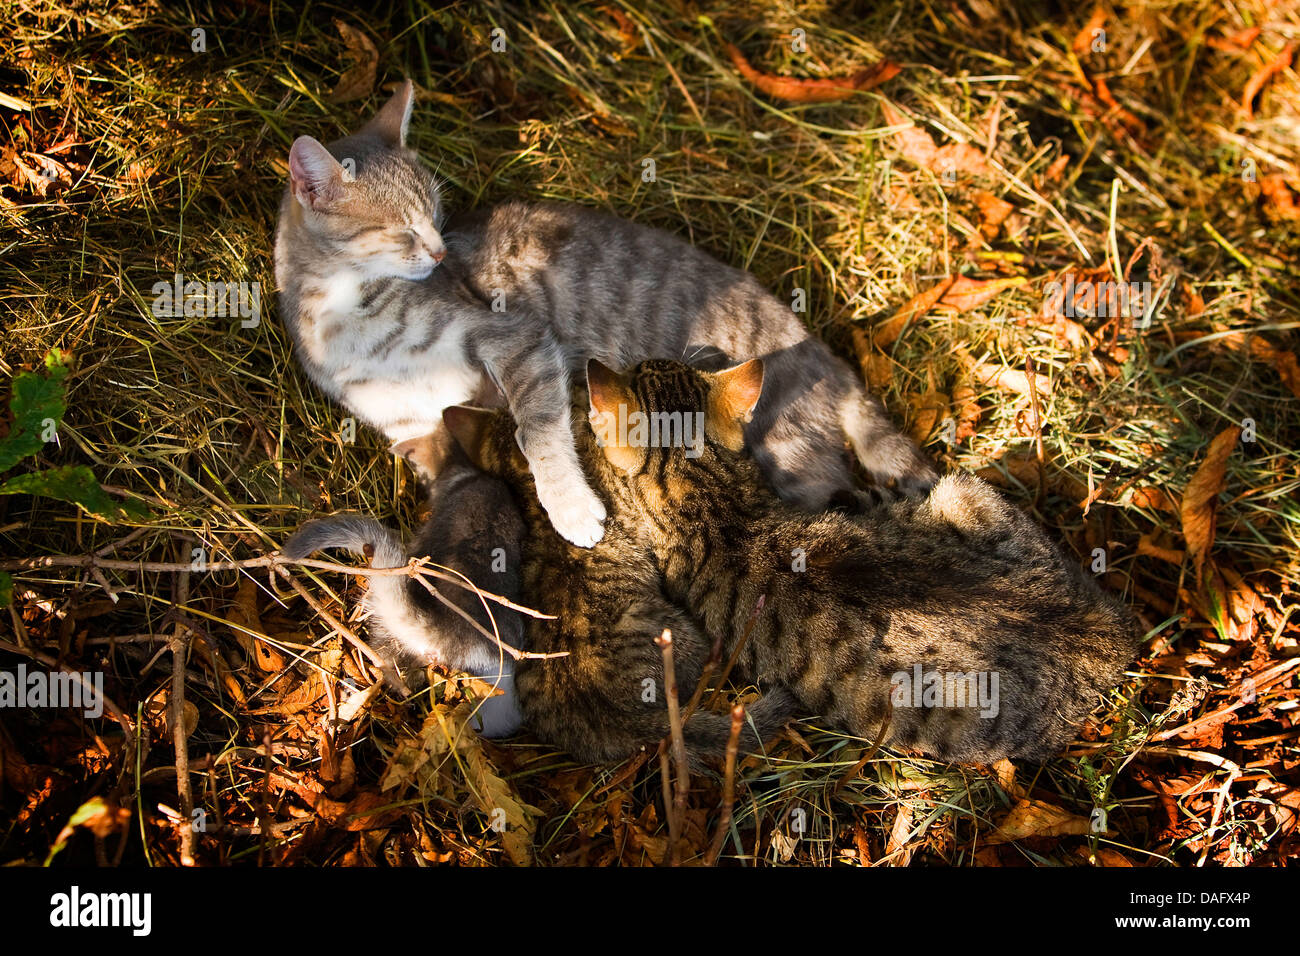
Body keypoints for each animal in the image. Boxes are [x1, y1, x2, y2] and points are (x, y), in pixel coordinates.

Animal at [274, 78, 935, 556]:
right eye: (402, 230)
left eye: (436, 217)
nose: (439, 252)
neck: (356, 325)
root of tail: (824, 353)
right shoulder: (411, 426)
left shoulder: (516, 339)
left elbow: (537, 431)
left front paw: (569, 505)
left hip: (789, 452)